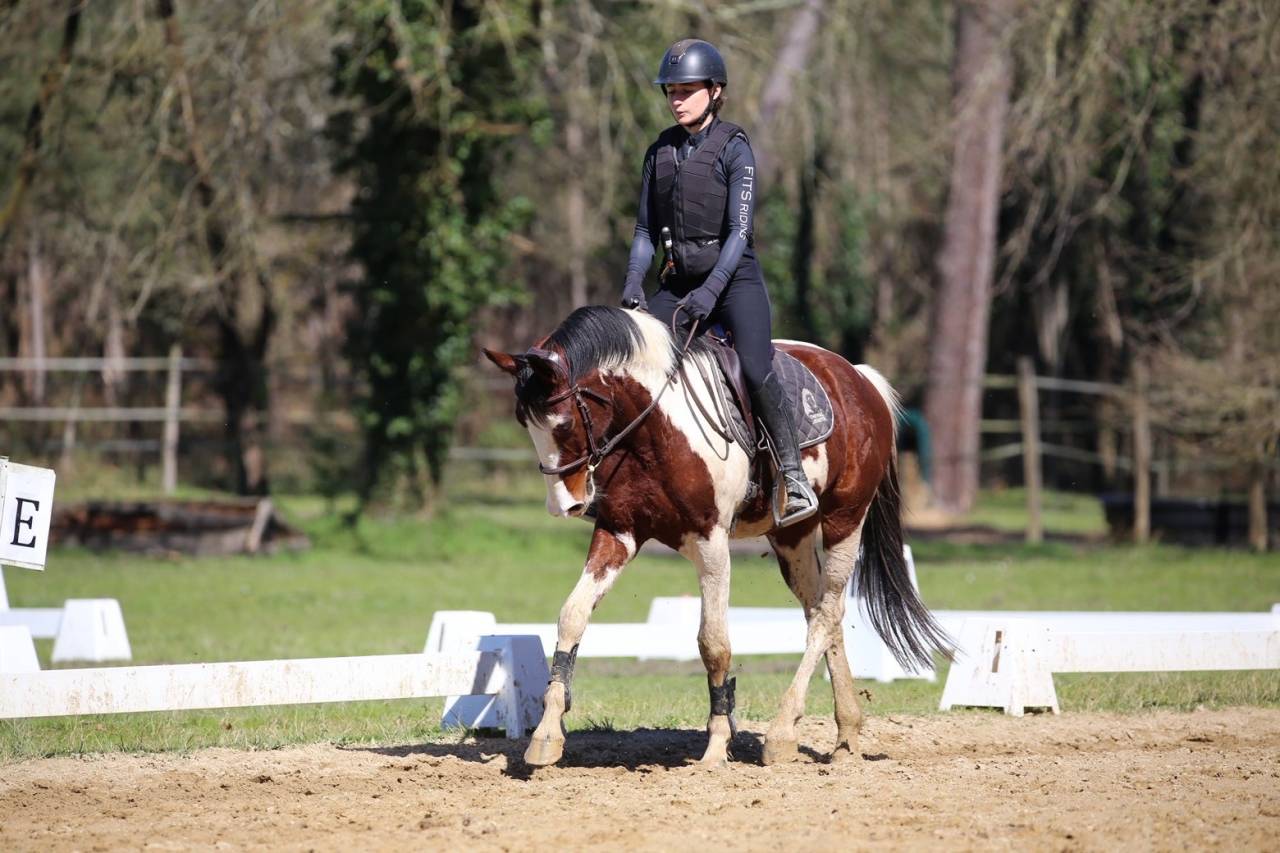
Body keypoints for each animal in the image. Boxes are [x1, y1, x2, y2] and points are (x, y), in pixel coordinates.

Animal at [483, 305, 950, 767]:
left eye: (563, 425)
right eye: (524, 422)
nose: (564, 506)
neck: (653, 429)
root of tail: (858, 376)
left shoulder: (711, 542)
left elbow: (714, 643)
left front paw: (716, 746)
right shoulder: (619, 531)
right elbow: (572, 616)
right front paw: (545, 736)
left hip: (845, 519)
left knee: (827, 612)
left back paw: (782, 733)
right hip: (793, 537)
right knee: (822, 611)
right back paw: (846, 735)